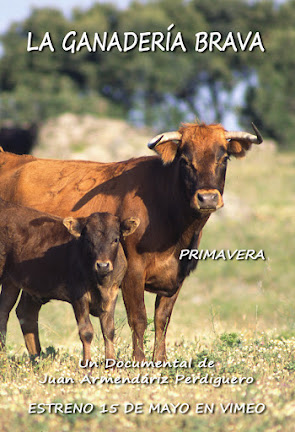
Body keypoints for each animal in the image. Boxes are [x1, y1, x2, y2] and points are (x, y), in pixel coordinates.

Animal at [0, 198, 140, 362]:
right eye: (88, 240)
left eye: (116, 239)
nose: (103, 265)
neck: (100, 282)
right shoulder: (79, 296)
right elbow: (86, 331)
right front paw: (87, 363)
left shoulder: (112, 293)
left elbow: (109, 330)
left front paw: (111, 363)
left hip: (12, 282)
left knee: (11, 312)